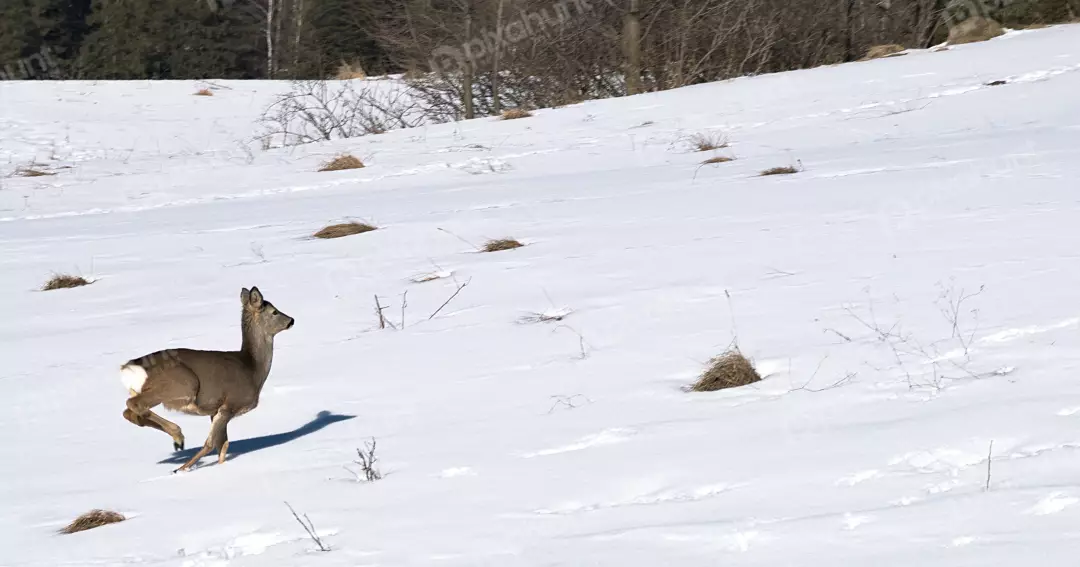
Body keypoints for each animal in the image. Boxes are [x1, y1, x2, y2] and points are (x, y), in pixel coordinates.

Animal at [120, 286, 294, 473]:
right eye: (274, 311)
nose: (292, 320)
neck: (253, 369)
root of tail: (130, 368)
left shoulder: (215, 411)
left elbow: (223, 444)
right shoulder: (229, 405)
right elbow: (210, 444)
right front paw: (181, 469)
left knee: (130, 412)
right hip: (182, 385)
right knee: (135, 405)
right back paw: (178, 437)